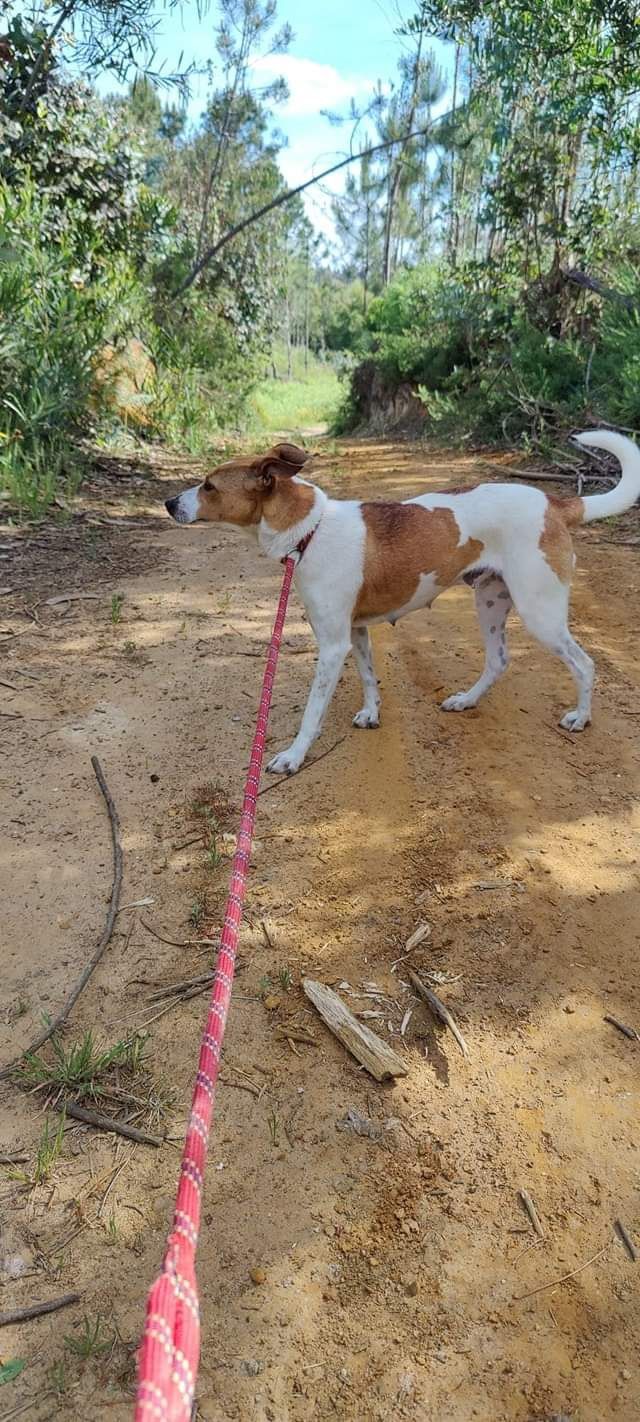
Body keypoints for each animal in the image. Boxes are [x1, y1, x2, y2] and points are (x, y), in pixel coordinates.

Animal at [163, 426, 640, 773]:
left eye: (208, 486)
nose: (168, 503)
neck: (310, 529)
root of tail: (555, 502)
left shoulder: (332, 645)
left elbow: (312, 713)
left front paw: (294, 756)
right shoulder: (355, 633)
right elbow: (370, 677)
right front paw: (371, 713)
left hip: (540, 612)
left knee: (584, 663)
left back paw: (580, 717)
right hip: (490, 601)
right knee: (498, 660)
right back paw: (466, 700)